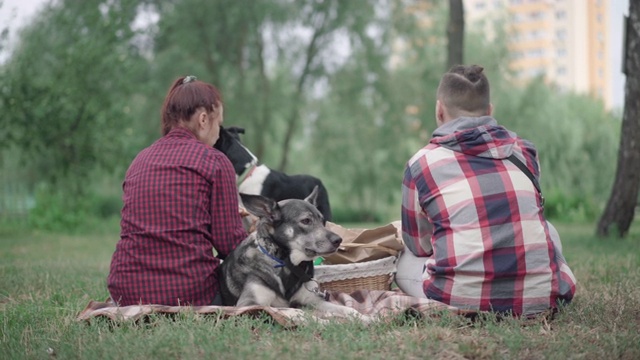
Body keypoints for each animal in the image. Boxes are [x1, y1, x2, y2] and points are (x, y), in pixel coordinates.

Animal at [219, 187, 370, 322]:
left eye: (322, 221)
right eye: (306, 221)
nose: (338, 240)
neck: (286, 263)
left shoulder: (314, 300)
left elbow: (346, 308)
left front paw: (364, 318)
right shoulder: (249, 304)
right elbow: (293, 310)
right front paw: (321, 321)